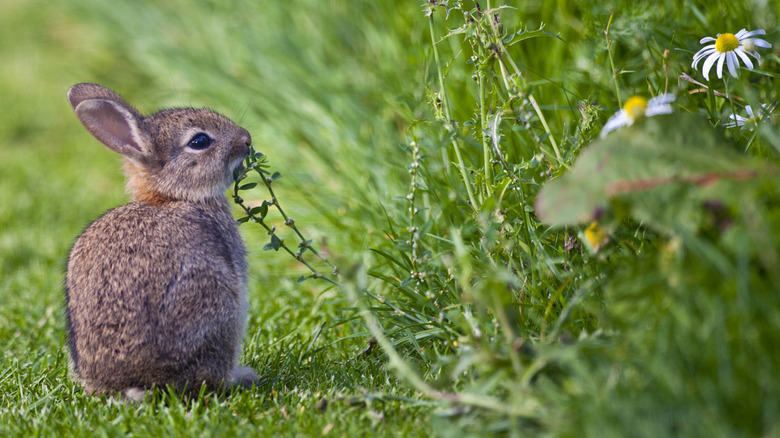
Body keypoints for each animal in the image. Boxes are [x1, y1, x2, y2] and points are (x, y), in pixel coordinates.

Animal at [64, 83, 258, 400]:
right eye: (200, 141)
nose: (246, 140)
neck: (172, 196)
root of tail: (140, 383)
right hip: (216, 306)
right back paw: (241, 377)